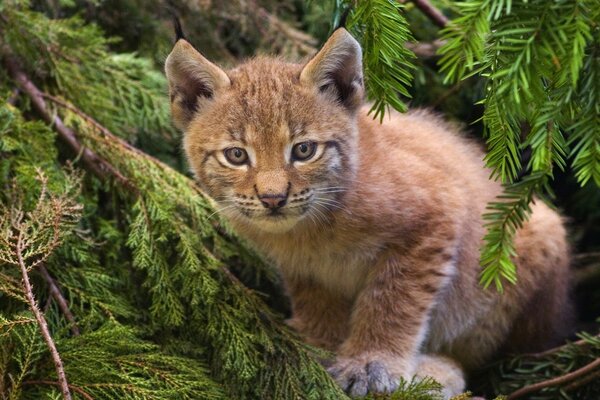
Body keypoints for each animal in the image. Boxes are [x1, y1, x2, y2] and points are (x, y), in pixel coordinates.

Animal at [165, 28, 572, 400]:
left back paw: (436, 374)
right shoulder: (305, 267)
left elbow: (393, 300)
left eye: (304, 150)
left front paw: (371, 363)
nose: (273, 198)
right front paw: (320, 346)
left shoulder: (438, 212)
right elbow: (316, 301)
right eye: (236, 155)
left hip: (531, 238)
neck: (311, 226)